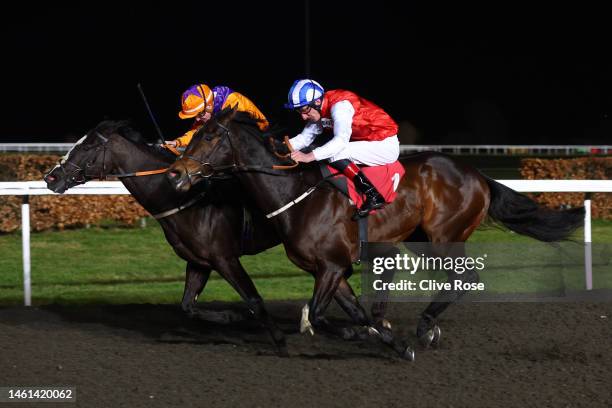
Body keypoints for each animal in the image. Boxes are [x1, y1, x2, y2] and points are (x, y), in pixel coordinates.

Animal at [165, 108, 584, 356]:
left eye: (209, 137)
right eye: (195, 134)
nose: (176, 172)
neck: (293, 195)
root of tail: (478, 175)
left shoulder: (333, 267)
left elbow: (323, 315)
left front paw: (359, 334)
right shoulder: (330, 269)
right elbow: (354, 310)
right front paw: (386, 339)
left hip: (443, 237)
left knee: (466, 278)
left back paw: (426, 325)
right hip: (419, 239)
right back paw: (425, 328)